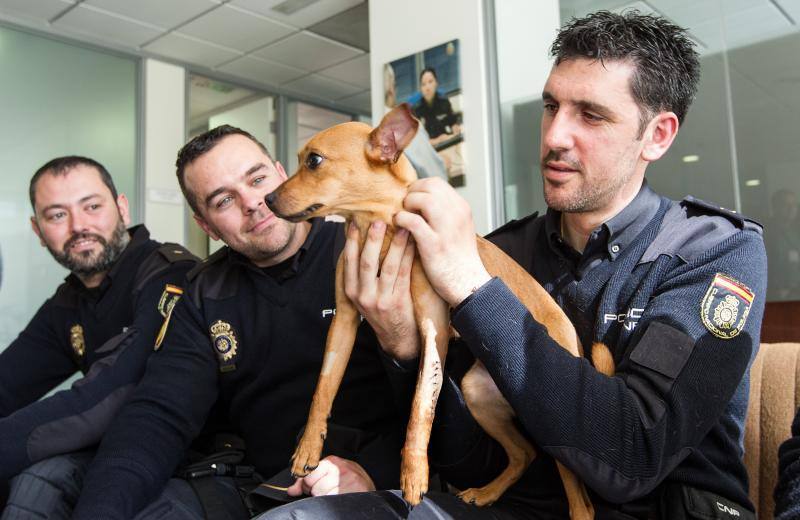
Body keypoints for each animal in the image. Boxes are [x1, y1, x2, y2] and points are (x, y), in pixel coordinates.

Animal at [266, 103, 608, 516]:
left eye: (314, 161)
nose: (267, 200)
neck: (377, 230)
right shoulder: (344, 321)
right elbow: (323, 388)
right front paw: (307, 449)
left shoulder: (434, 330)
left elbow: (420, 411)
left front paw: (413, 475)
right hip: (477, 394)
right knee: (523, 454)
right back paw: (486, 492)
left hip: (551, 426)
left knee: (581, 502)